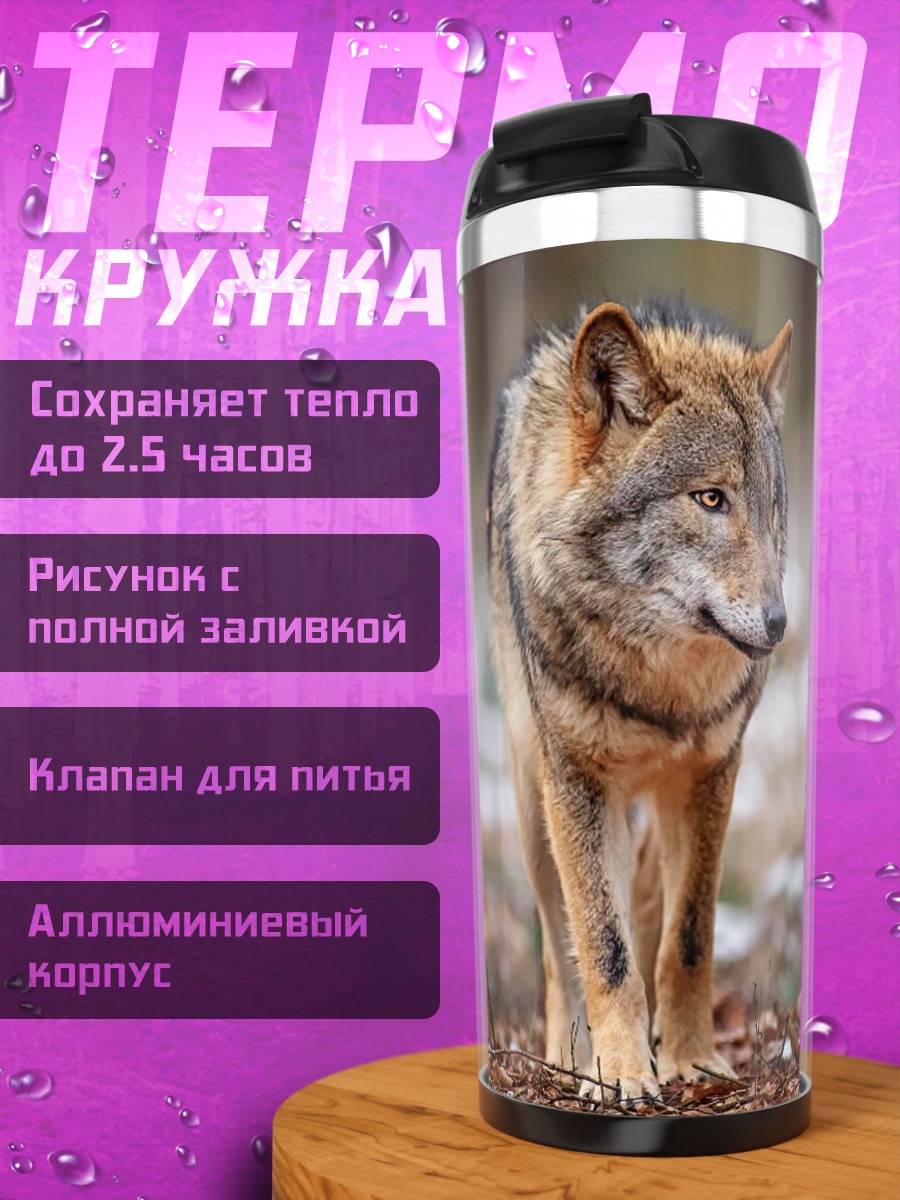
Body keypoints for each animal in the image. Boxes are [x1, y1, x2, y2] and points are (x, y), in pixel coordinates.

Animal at [488, 300, 792, 1101]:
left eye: (771, 506)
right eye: (710, 498)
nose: (780, 624)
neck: (660, 687)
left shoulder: (712, 774)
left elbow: (689, 935)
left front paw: (690, 1060)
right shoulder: (578, 783)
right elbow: (603, 943)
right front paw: (619, 1071)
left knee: (653, 903)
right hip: (534, 807)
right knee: (558, 938)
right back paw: (568, 1054)